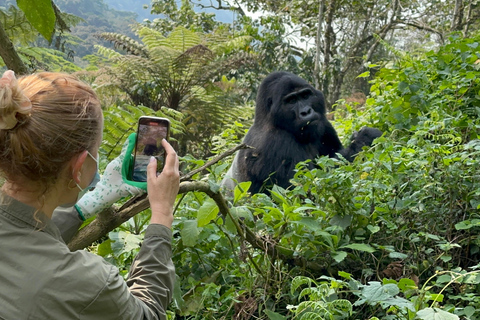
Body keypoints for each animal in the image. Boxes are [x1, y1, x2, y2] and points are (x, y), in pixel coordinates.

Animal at [221, 71, 382, 194]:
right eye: (291, 101)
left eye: (305, 96)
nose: (306, 112)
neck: (272, 120)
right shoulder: (275, 142)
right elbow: (311, 189)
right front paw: (364, 139)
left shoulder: (323, 124)